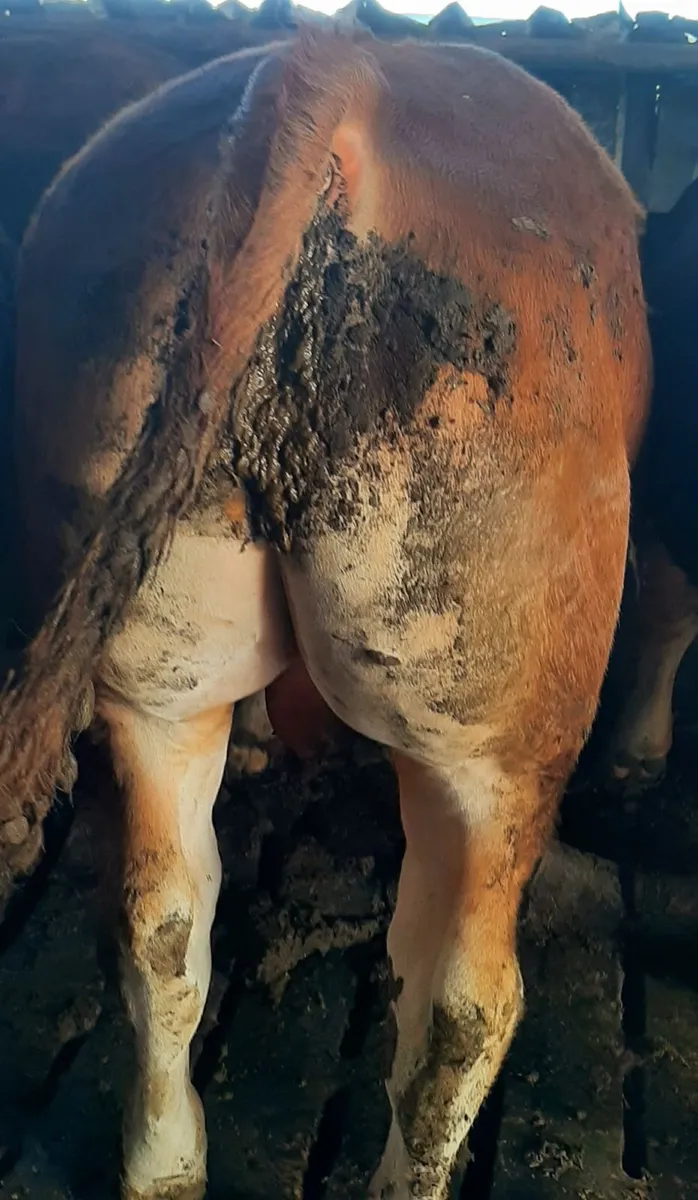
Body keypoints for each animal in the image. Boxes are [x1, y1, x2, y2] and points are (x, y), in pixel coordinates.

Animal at [0, 30, 649, 1200]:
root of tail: (333, 68)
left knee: (158, 924)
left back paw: (164, 1164)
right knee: (462, 1004)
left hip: (154, 667)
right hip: (501, 728)